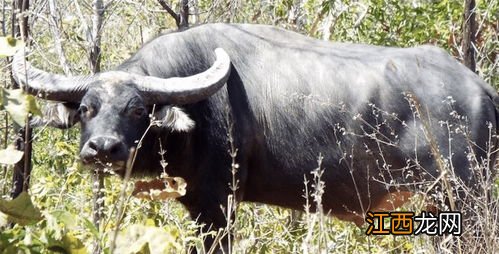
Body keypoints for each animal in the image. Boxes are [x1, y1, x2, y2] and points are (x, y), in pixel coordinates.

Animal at [12, 23, 499, 250]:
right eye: (86, 109)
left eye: (137, 110)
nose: (102, 148)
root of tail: (481, 92)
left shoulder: (218, 204)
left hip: (467, 203)